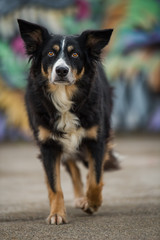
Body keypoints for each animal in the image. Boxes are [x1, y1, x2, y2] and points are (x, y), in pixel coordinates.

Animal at [17, 18, 119, 225]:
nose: (62, 70)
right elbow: (54, 185)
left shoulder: (96, 138)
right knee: (73, 167)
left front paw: (93, 203)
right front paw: (57, 214)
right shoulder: (48, 144)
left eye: (75, 54)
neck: (63, 97)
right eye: (50, 53)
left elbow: (96, 177)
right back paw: (79, 198)